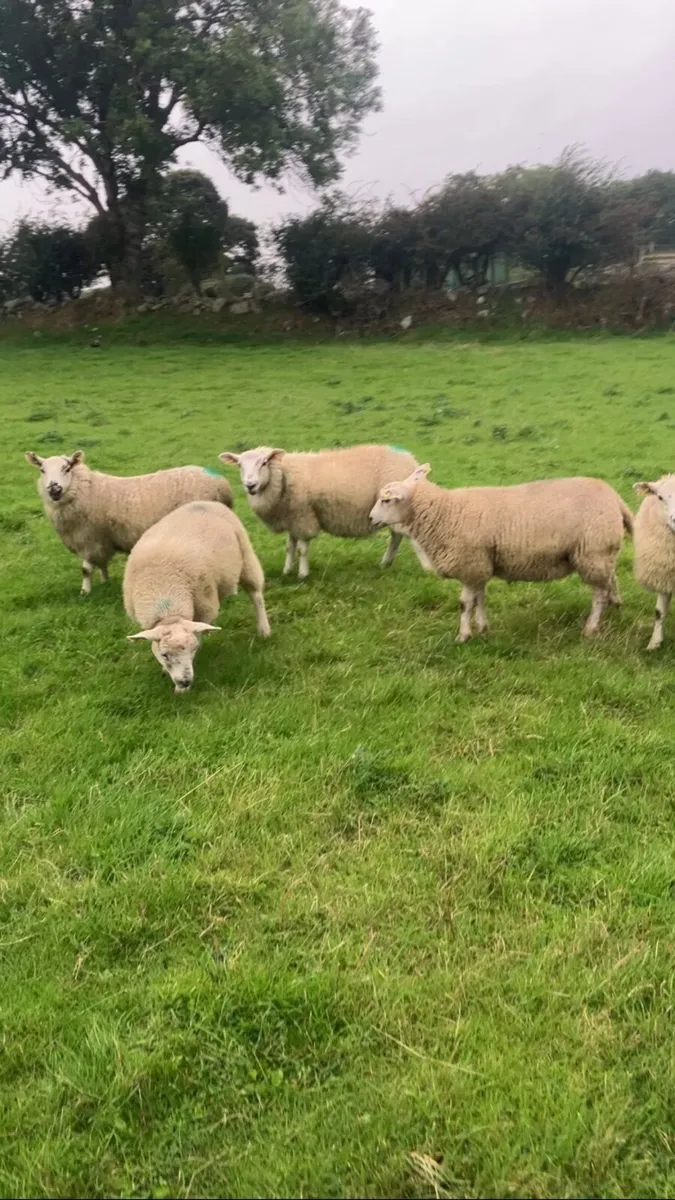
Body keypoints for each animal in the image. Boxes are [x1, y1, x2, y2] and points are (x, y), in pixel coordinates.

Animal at [25, 450, 234, 595]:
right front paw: (105, 581)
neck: (84, 491)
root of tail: (221, 485)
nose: (54, 488)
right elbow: (102, 563)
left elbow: (85, 569)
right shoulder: (102, 539)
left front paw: (85, 592)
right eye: (42, 470)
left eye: (66, 468)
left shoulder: (89, 538)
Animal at [124, 500, 270, 693]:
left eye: (192, 649)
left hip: (246, 557)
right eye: (164, 654)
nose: (185, 681)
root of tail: (206, 502)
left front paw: (181, 691)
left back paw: (264, 629)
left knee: (256, 595)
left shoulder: (204, 607)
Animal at [218, 443, 418, 579]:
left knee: (398, 536)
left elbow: (302, 549)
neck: (283, 476)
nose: (250, 485)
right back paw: (386, 563)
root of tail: (411, 460)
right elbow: (290, 547)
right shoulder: (291, 518)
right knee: (396, 537)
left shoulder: (303, 517)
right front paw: (287, 570)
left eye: (264, 463)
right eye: (239, 465)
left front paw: (302, 574)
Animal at [369, 465, 633, 641]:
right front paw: (482, 628)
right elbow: (479, 599)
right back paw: (615, 606)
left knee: (599, 593)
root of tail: (615, 498)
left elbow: (465, 603)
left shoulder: (470, 564)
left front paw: (463, 635)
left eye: (386, 500)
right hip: (602, 553)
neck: (444, 512)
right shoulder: (479, 566)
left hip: (593, 552)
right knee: (611, 580)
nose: (370, 519)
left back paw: (591, 627)